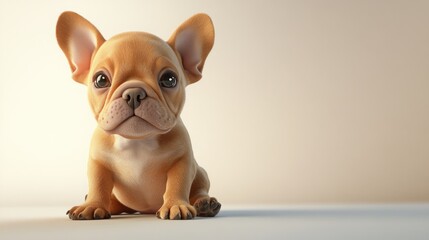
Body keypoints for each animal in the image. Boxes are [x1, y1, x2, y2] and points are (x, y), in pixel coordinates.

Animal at [56, 12, 221, 220]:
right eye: (101, 80)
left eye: (169, 79)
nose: (134, 93)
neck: (136, 141)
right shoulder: (98, 162)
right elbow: (98, 184)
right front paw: (92, 205)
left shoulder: (183, 161)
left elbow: (178, 183)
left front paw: (175, 205)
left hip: (200, 172)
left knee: (199, 188)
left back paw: (205, 203)